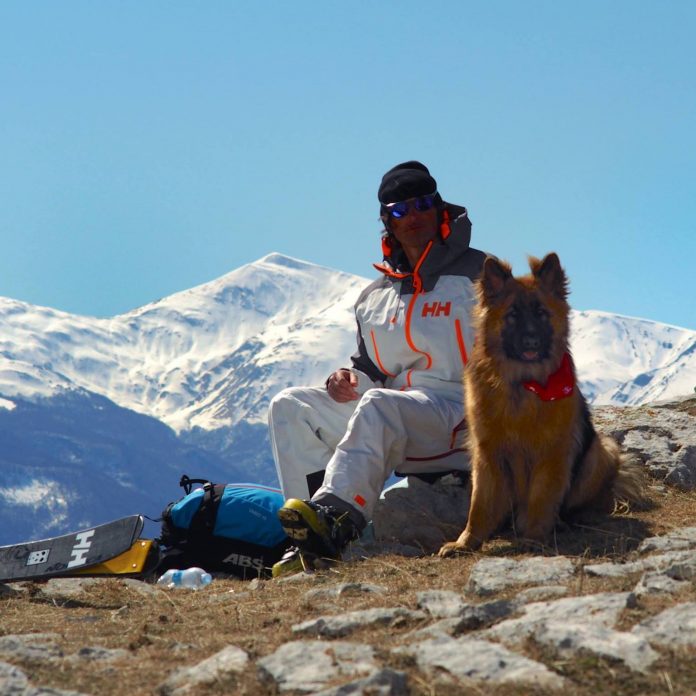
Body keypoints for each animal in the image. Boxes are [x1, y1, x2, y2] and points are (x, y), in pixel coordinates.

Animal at [438, 250, 644, 556]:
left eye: (541, 314)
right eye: (513, 315)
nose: (531, 340)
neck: (523, 384)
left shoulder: (552, 452)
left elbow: (540, 498)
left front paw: (534, 537)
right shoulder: (487, 454)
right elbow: (479, 504)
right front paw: (467, 541)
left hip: (601, 449)